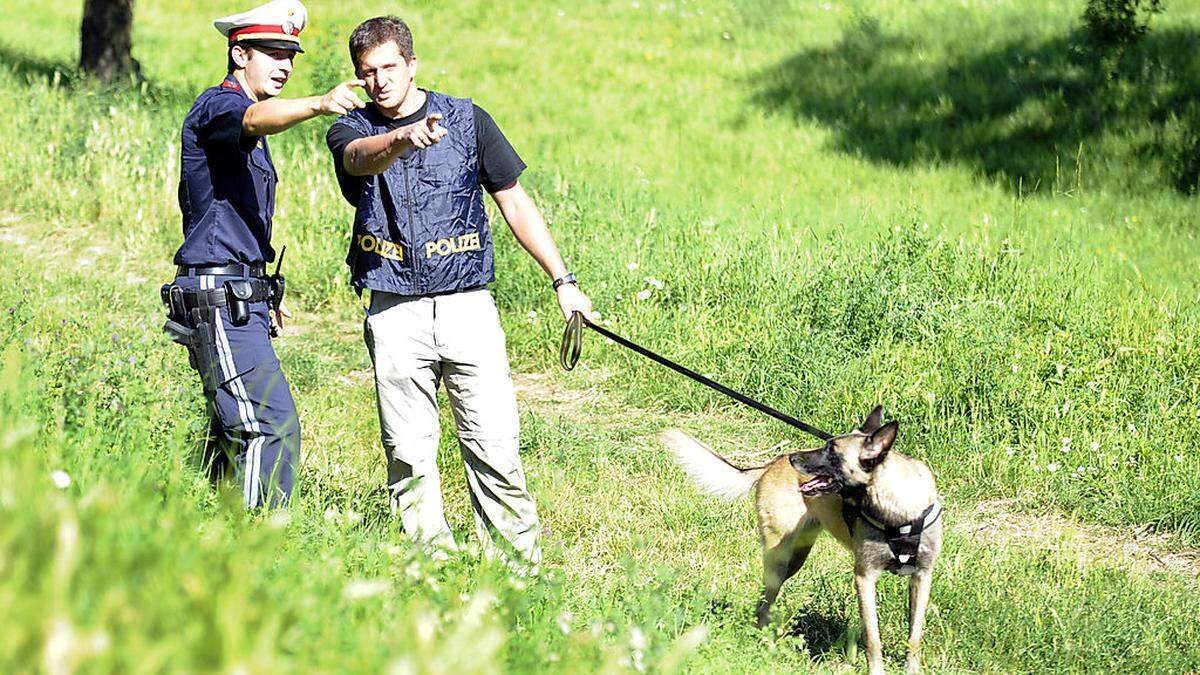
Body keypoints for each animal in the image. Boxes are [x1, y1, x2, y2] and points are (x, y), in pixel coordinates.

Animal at [662, 403, 940, 672]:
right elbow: (873, 638)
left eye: (831, 452)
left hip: (795, 559)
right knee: (764, 607)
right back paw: (765, 648)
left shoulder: (922, 577)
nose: (793, 457)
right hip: (777, 561)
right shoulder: (865, 577)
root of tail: (770, 464)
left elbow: (914, 638)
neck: (899, 513)